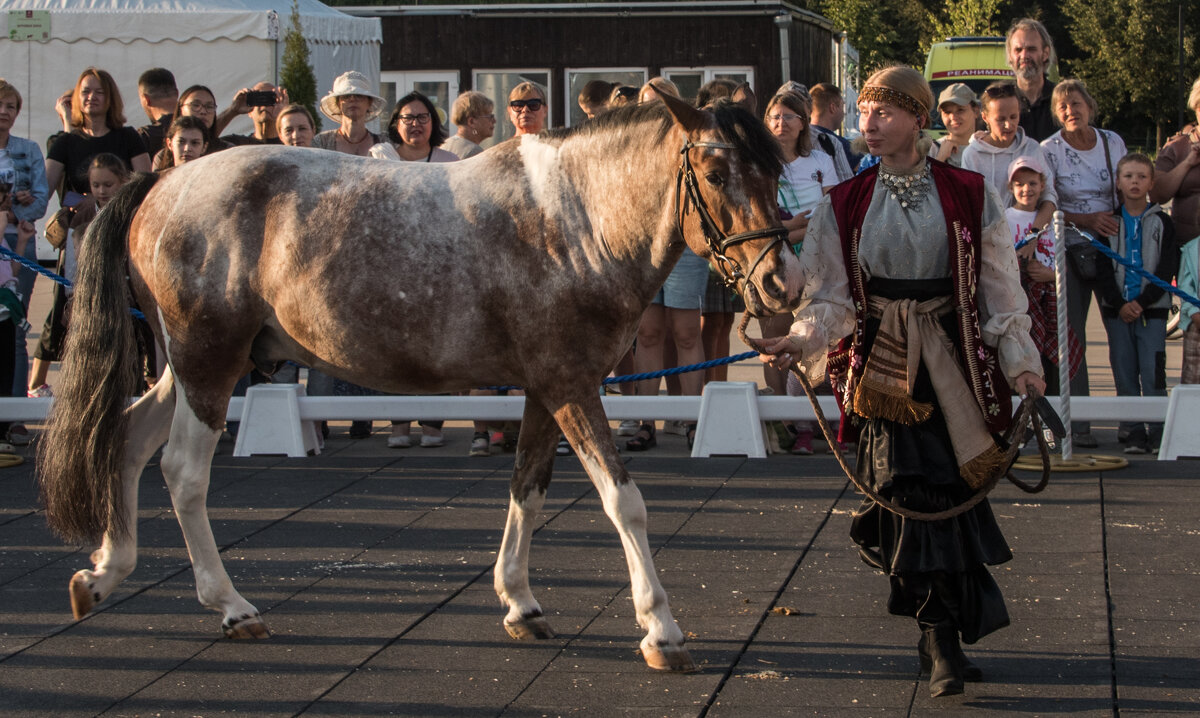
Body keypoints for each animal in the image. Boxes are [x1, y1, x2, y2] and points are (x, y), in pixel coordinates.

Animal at [37, 93, 801, 672]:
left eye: (773, 168)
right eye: (714, 170)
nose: (778, 284)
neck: (575, 222)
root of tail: (163, 183)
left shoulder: (543, 387)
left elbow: (527, 488)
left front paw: (519, 603)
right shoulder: (572, 384)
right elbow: (625, 502)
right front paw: (661, 631)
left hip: (192, 363)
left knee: (128, 438)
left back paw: (100, 574)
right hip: (209, 359)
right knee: (182, 473)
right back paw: (231, 607)